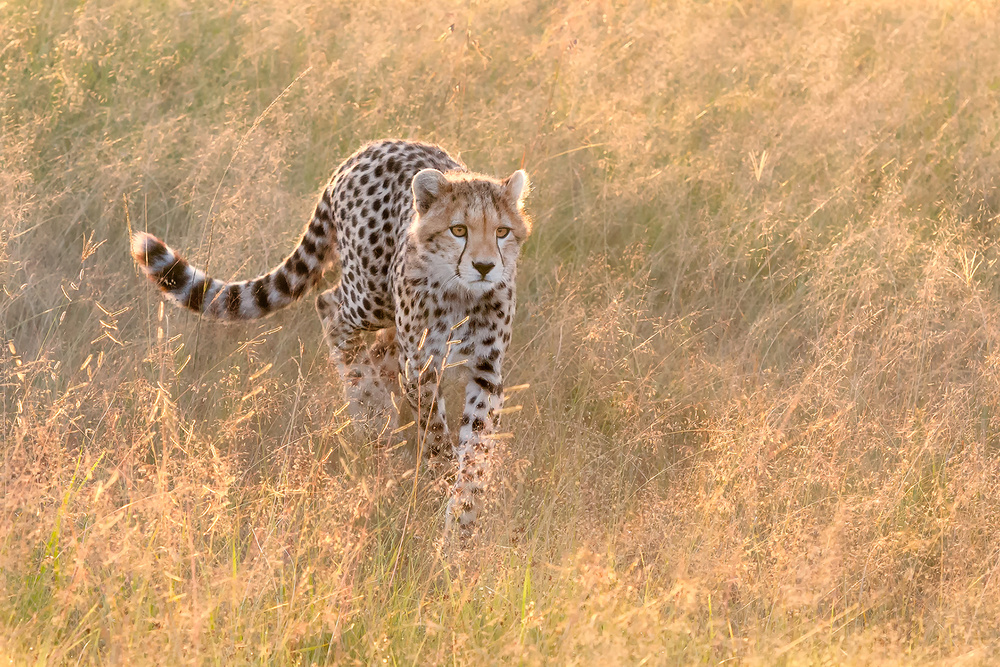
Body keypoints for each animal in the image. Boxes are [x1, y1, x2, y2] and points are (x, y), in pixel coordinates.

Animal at [137, 138, 536, 536]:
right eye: (459, 230)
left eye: (502, 232)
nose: (484, 266)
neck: (462, 294)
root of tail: (368, 149)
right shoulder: (421, 365)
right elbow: (436, 433)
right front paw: (444, 479)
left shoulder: (486, 369)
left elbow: (478, 445)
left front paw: (463, 516)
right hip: (372, 295)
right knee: (330, 308)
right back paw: (372, 409)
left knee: (376, 350)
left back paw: (375, 410)